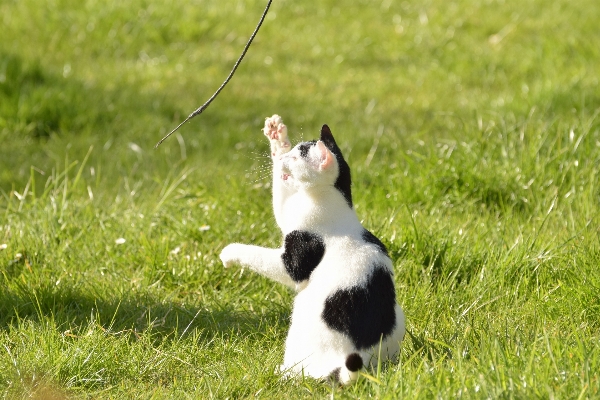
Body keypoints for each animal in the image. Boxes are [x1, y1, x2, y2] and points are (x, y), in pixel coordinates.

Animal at [218, 114, 406, 382]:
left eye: (297, 157)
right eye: (293, 151)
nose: (284, 159)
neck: (334, 203)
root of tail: (357, 360)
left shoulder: (297, 254)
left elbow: (264, 255)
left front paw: (230, 252)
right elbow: (280, 198)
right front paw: (277, 137)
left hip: (300, 325)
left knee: (302, 372)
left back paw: (278, 373)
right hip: (399, 317)